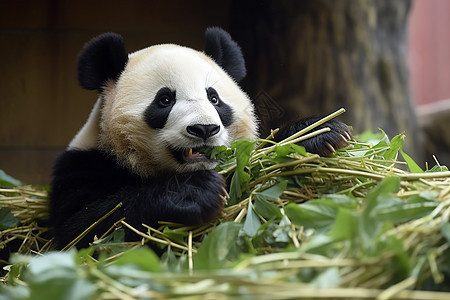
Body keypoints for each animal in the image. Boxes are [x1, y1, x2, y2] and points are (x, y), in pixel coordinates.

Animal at [50, 27, 352, 248]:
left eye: (214, 98)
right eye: (165, 100)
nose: (204, 129)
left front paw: (319, 133)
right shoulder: (84, 165)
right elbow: (82, 229)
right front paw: (193, 192)